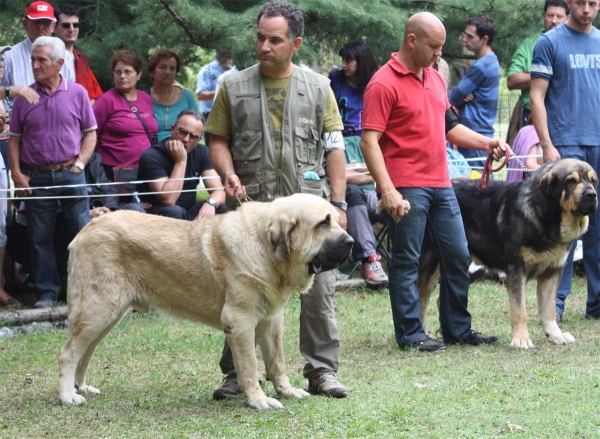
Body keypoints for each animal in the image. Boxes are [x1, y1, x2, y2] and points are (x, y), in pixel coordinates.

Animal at [58, 194, 354, 410]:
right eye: (323, 223)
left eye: (336, 220)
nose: (351, 241)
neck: (266, 248)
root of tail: (84, 231)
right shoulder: (240, 321)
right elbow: (250, 366)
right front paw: (259, 400)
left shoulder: (271, 320)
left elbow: (276, 362)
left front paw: (288, 391)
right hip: (99, 309)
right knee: (68, 353)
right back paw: (68, 396)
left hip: (107, 315)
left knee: (85, 352)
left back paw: (81, 387)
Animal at [420, 160, 596, 348]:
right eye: (571, 181)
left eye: (593, 181)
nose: (592, 195)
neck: (546, 216)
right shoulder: (517, 269)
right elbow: (520, 309)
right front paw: (521, 339)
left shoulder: (552, 271)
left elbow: (549, 309)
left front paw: (556, 335)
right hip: (430, 262)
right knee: (421, 299)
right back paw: (424, 335)